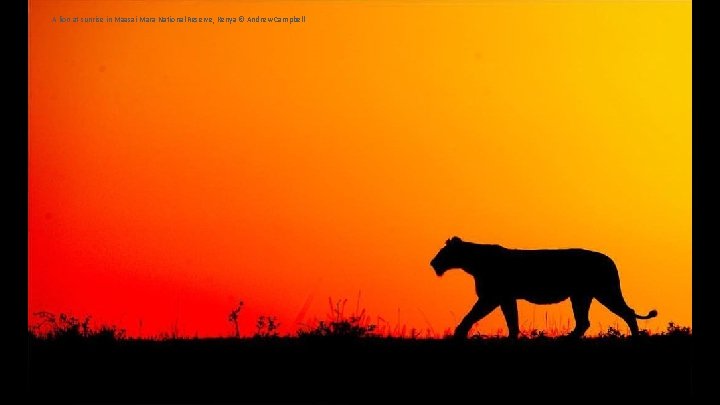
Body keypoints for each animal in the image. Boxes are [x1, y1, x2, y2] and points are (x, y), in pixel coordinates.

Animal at [430, 237, 656, 338]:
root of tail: (610, 260)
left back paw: (635, 338)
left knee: (627, 312)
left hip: (604, 291)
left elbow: (471, 315)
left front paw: (458, 334)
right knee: (584, 322)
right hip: (581, 295)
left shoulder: (492, 297)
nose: (433, 263)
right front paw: (513, 338)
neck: (473, 262)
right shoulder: (505, 298)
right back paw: (567, 340)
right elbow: (512, 320)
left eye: (444, 252)